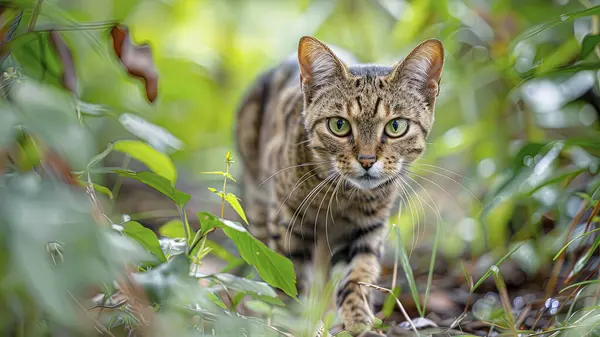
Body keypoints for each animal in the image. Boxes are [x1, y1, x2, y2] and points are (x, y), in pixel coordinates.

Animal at [237, 35, 442, 334]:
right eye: (339, 125)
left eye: (395, 127)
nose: (367, 160)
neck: (342, 196)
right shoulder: (288, 223)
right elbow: (289, 280)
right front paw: (294, 324)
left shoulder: (366, 230)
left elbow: (357, 278)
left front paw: (358, 322)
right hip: (259, 203)